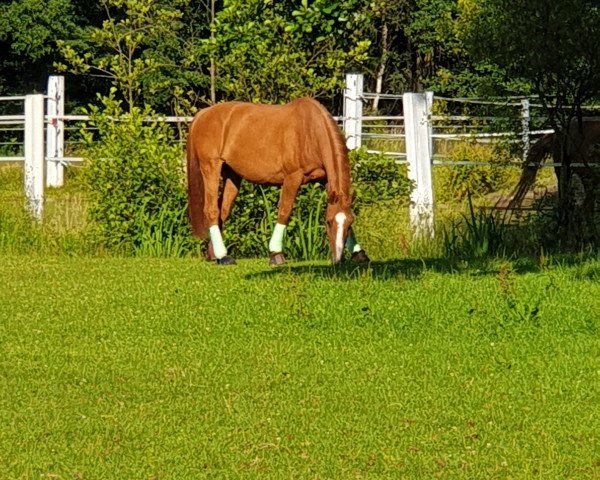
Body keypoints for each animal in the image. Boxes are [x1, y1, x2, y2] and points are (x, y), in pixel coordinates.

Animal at [186, 97, 370, 266]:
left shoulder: (326, 180)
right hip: (211, 167)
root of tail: (203, 114)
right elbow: (284, 212)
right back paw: (222, 255)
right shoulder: (292, 178)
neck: (310, 130)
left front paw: (359, 253)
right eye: (328, 222)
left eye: (349, 224)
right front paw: (276, 253)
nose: (337, 260)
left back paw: (215, 255)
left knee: (222, 211)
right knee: (211, 210)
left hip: (232, 174)